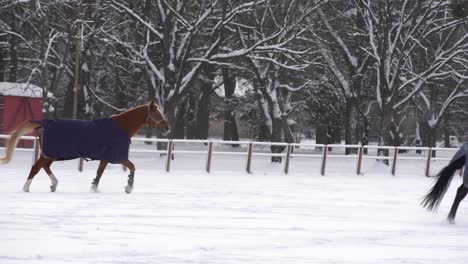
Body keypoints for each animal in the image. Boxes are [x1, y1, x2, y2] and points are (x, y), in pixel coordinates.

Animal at [0, 100, 169, 193]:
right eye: (157, 114)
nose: (167, 128)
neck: (120, 127)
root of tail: (44, 123)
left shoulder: (105, 158)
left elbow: (99, 172)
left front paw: (94, 187)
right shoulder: (117, 157)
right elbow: (132, 167)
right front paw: (129, 187)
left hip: (52, 155)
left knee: (44, 167)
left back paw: (54, 184)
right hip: (49, 154)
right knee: (36, 167)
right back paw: (26, 188)